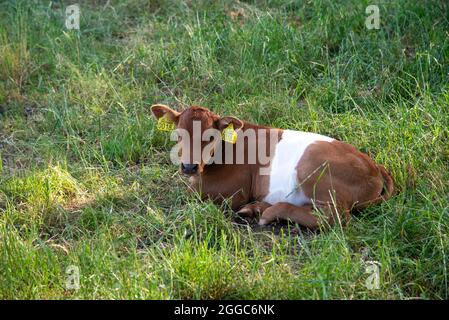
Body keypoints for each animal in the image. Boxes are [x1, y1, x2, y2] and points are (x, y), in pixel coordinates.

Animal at [150, 104, 392, 229]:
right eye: (178, 134)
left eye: (210, 137)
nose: (189, 167)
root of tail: (374, 166)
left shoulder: (234, 191)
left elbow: (188, 195)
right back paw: (257, 208)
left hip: (311, 169)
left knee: (333, 217)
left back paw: (269, 211)